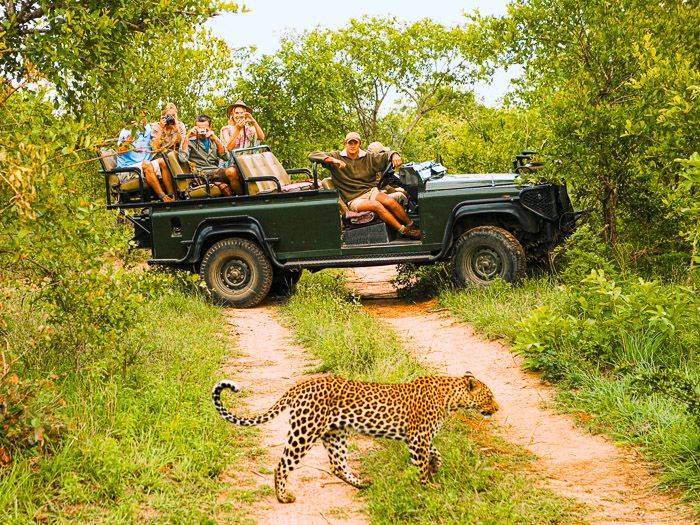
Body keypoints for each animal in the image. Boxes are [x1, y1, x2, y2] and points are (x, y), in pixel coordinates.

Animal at [212, 372, 498, 503]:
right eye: (489, 396)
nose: (497, 408)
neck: (451, 398)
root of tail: (298, 386)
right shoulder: (418, 438)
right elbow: (421, 464)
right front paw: (427, 486)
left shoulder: (418, 438)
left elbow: (435, 452)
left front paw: (435, 466)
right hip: (305, 431)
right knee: (282, 465)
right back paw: (283, 497)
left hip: (335, 434)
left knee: (337, 465)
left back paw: (362, 483)